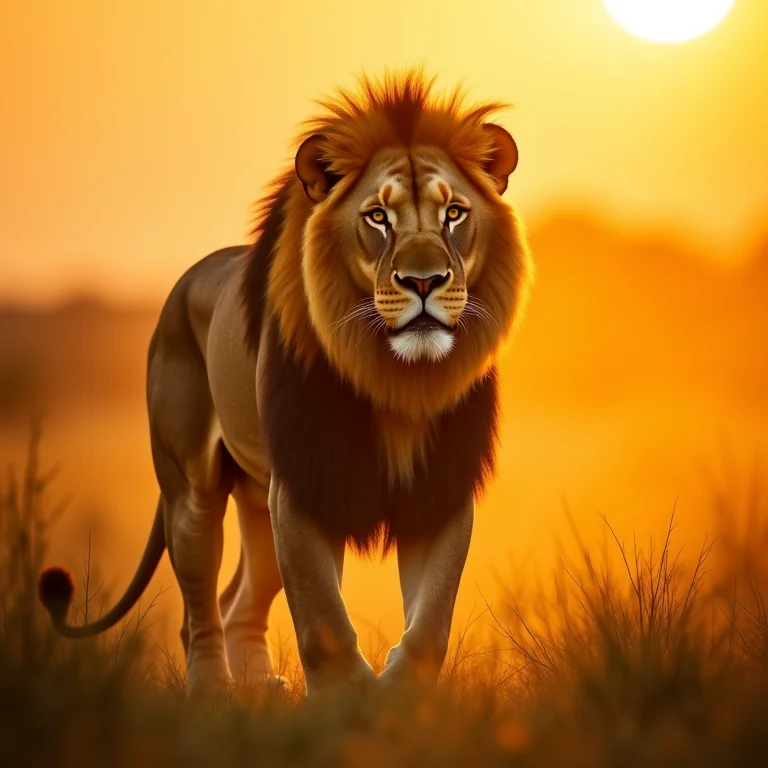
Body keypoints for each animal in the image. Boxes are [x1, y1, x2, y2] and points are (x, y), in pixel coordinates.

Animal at [38, 70, 533, 696]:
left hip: (257, 499)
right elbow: (324, 620)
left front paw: (401, 698)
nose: (424, 281)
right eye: (378, 217)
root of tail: (187, 279)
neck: (396, 378)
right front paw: (347, 701)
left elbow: (430, 623)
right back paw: (213, 692)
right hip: (192, 491)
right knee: (200, 605)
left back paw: (260, 688)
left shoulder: (439, 488)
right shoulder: (303, 489)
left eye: (454, 214)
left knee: (239, 602)